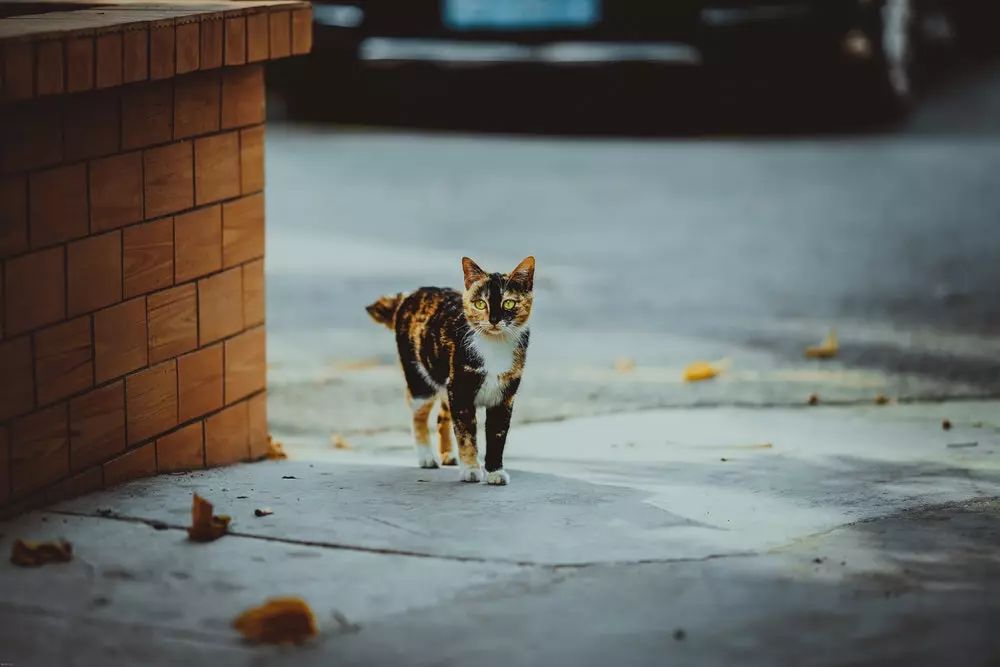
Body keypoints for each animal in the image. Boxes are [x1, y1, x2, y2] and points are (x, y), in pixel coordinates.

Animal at [368, 258, 536, 486]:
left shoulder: (504, 396)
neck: (494, 348)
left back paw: (448, 455)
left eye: (508, 303)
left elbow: (497, 435)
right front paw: (471, 469)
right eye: (480, 303)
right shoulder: (461, 390)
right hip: (421, 380)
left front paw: (495, 471)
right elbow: (466, 433)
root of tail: (410, 295)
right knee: (418, 416)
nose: (493, 320)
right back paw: (426, 457)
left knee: (442, 416)